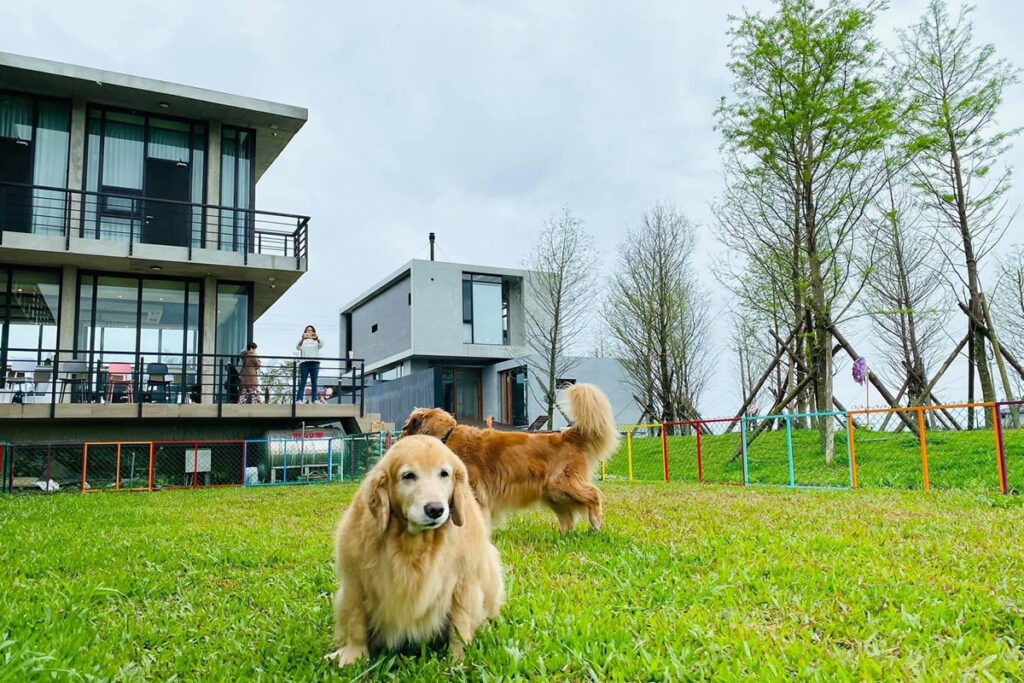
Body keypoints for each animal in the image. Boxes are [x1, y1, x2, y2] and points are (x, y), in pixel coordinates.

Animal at [323, 432, 503, 667]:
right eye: (408, 475)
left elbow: (460, 623)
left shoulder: (464, 581)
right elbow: (356, 621)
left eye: (444, 474)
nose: (435, 509)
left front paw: (458, 658)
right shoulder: (355, 581)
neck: (415, 543)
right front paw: (353, 654)